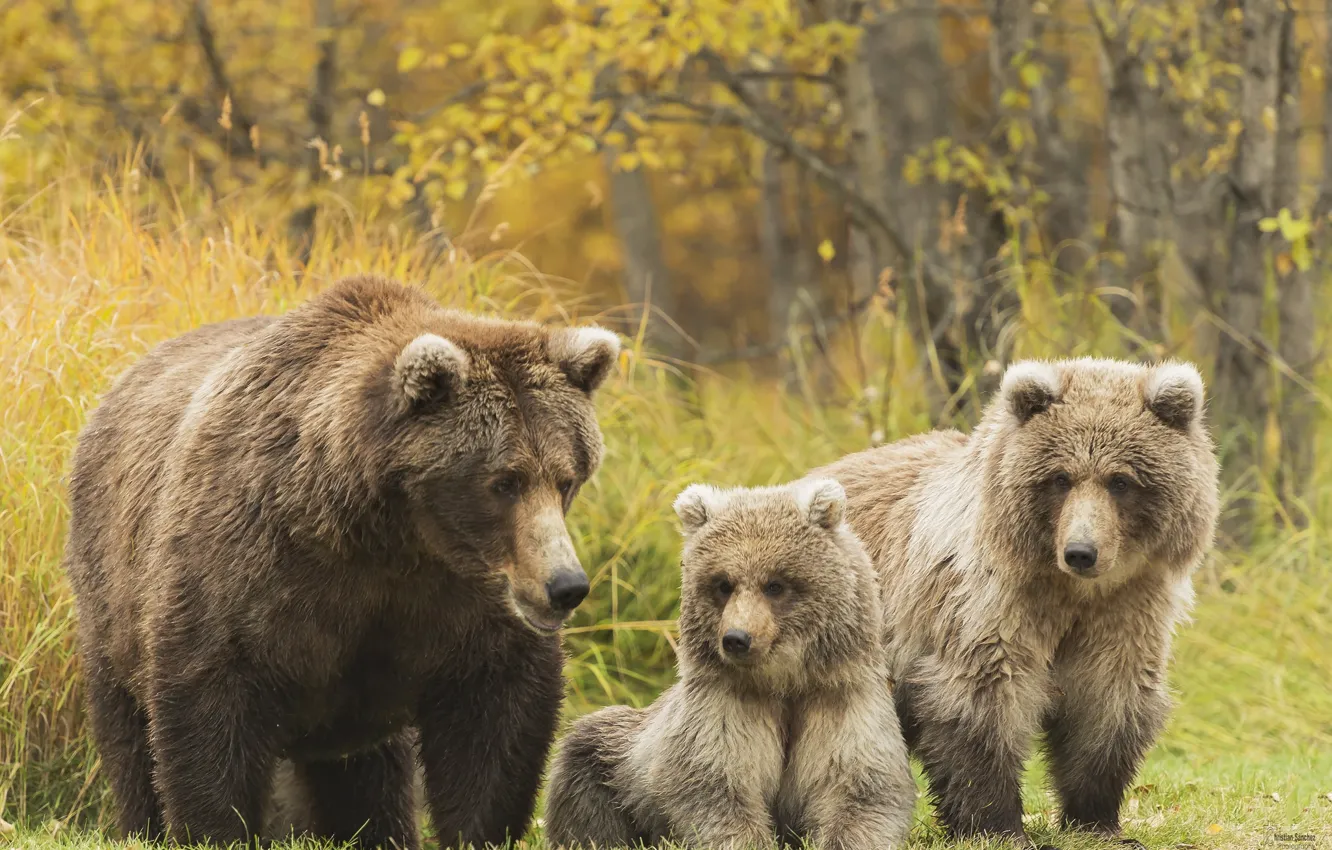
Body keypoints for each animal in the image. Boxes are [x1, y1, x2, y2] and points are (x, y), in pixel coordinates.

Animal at [62, 277, 623, 847]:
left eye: (566, 477)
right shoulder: (249, 565)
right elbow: (208, 705)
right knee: (128, 731)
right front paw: (213, 827)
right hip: (110, 586)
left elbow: (495, 722)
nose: (565, 586)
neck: (382, 533)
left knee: (366, 775)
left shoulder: (456, 603)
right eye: (504, 481)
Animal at [540, 479, 916, 850]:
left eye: (774, 584)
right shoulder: (725, 705)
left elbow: (860, 787)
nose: (737, 638)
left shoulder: (839, 698)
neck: (784, 681)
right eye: (723, 584)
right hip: (617, 758)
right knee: (584, 776)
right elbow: (716, 784)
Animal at [809, 357, 1220, 847]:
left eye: (1120, 480)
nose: (1081, 551)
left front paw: (1097, 820)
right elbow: (984, 698)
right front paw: (998, 824)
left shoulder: (1128, 605)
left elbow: (1109, 700)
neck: (1069, 591)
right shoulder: (991, 600)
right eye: (1061, 477)